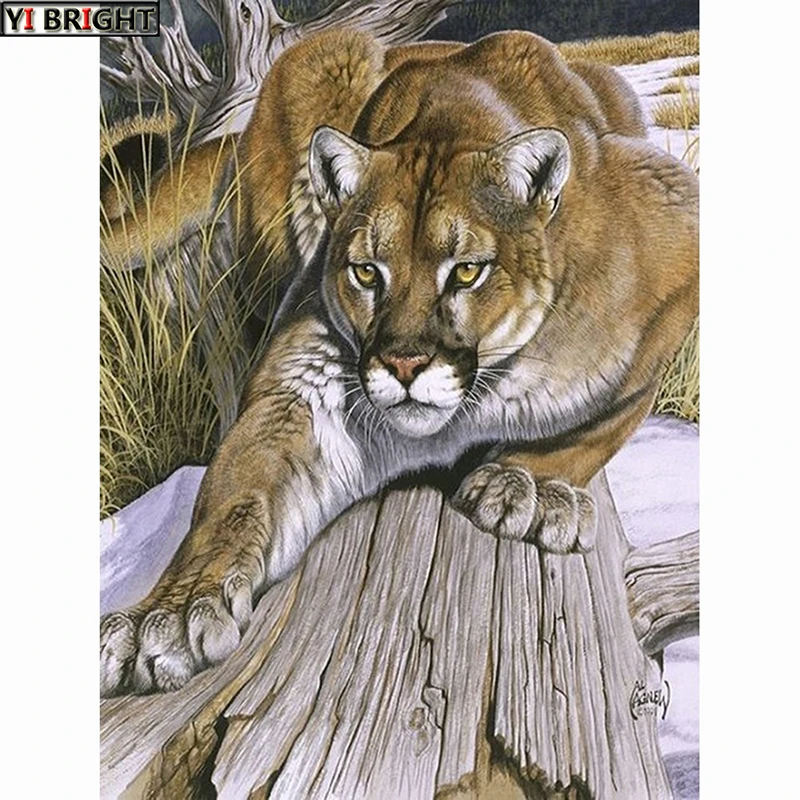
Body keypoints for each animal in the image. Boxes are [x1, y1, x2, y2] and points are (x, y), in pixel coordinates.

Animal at [100, 29, 698, 696]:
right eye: (366, 271)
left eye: (466, 271)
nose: (405, 365)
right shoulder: (306, 388)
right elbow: (233, 495)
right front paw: (170, 614)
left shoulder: (674, 227)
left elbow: (608, 421)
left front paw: (535, 487)